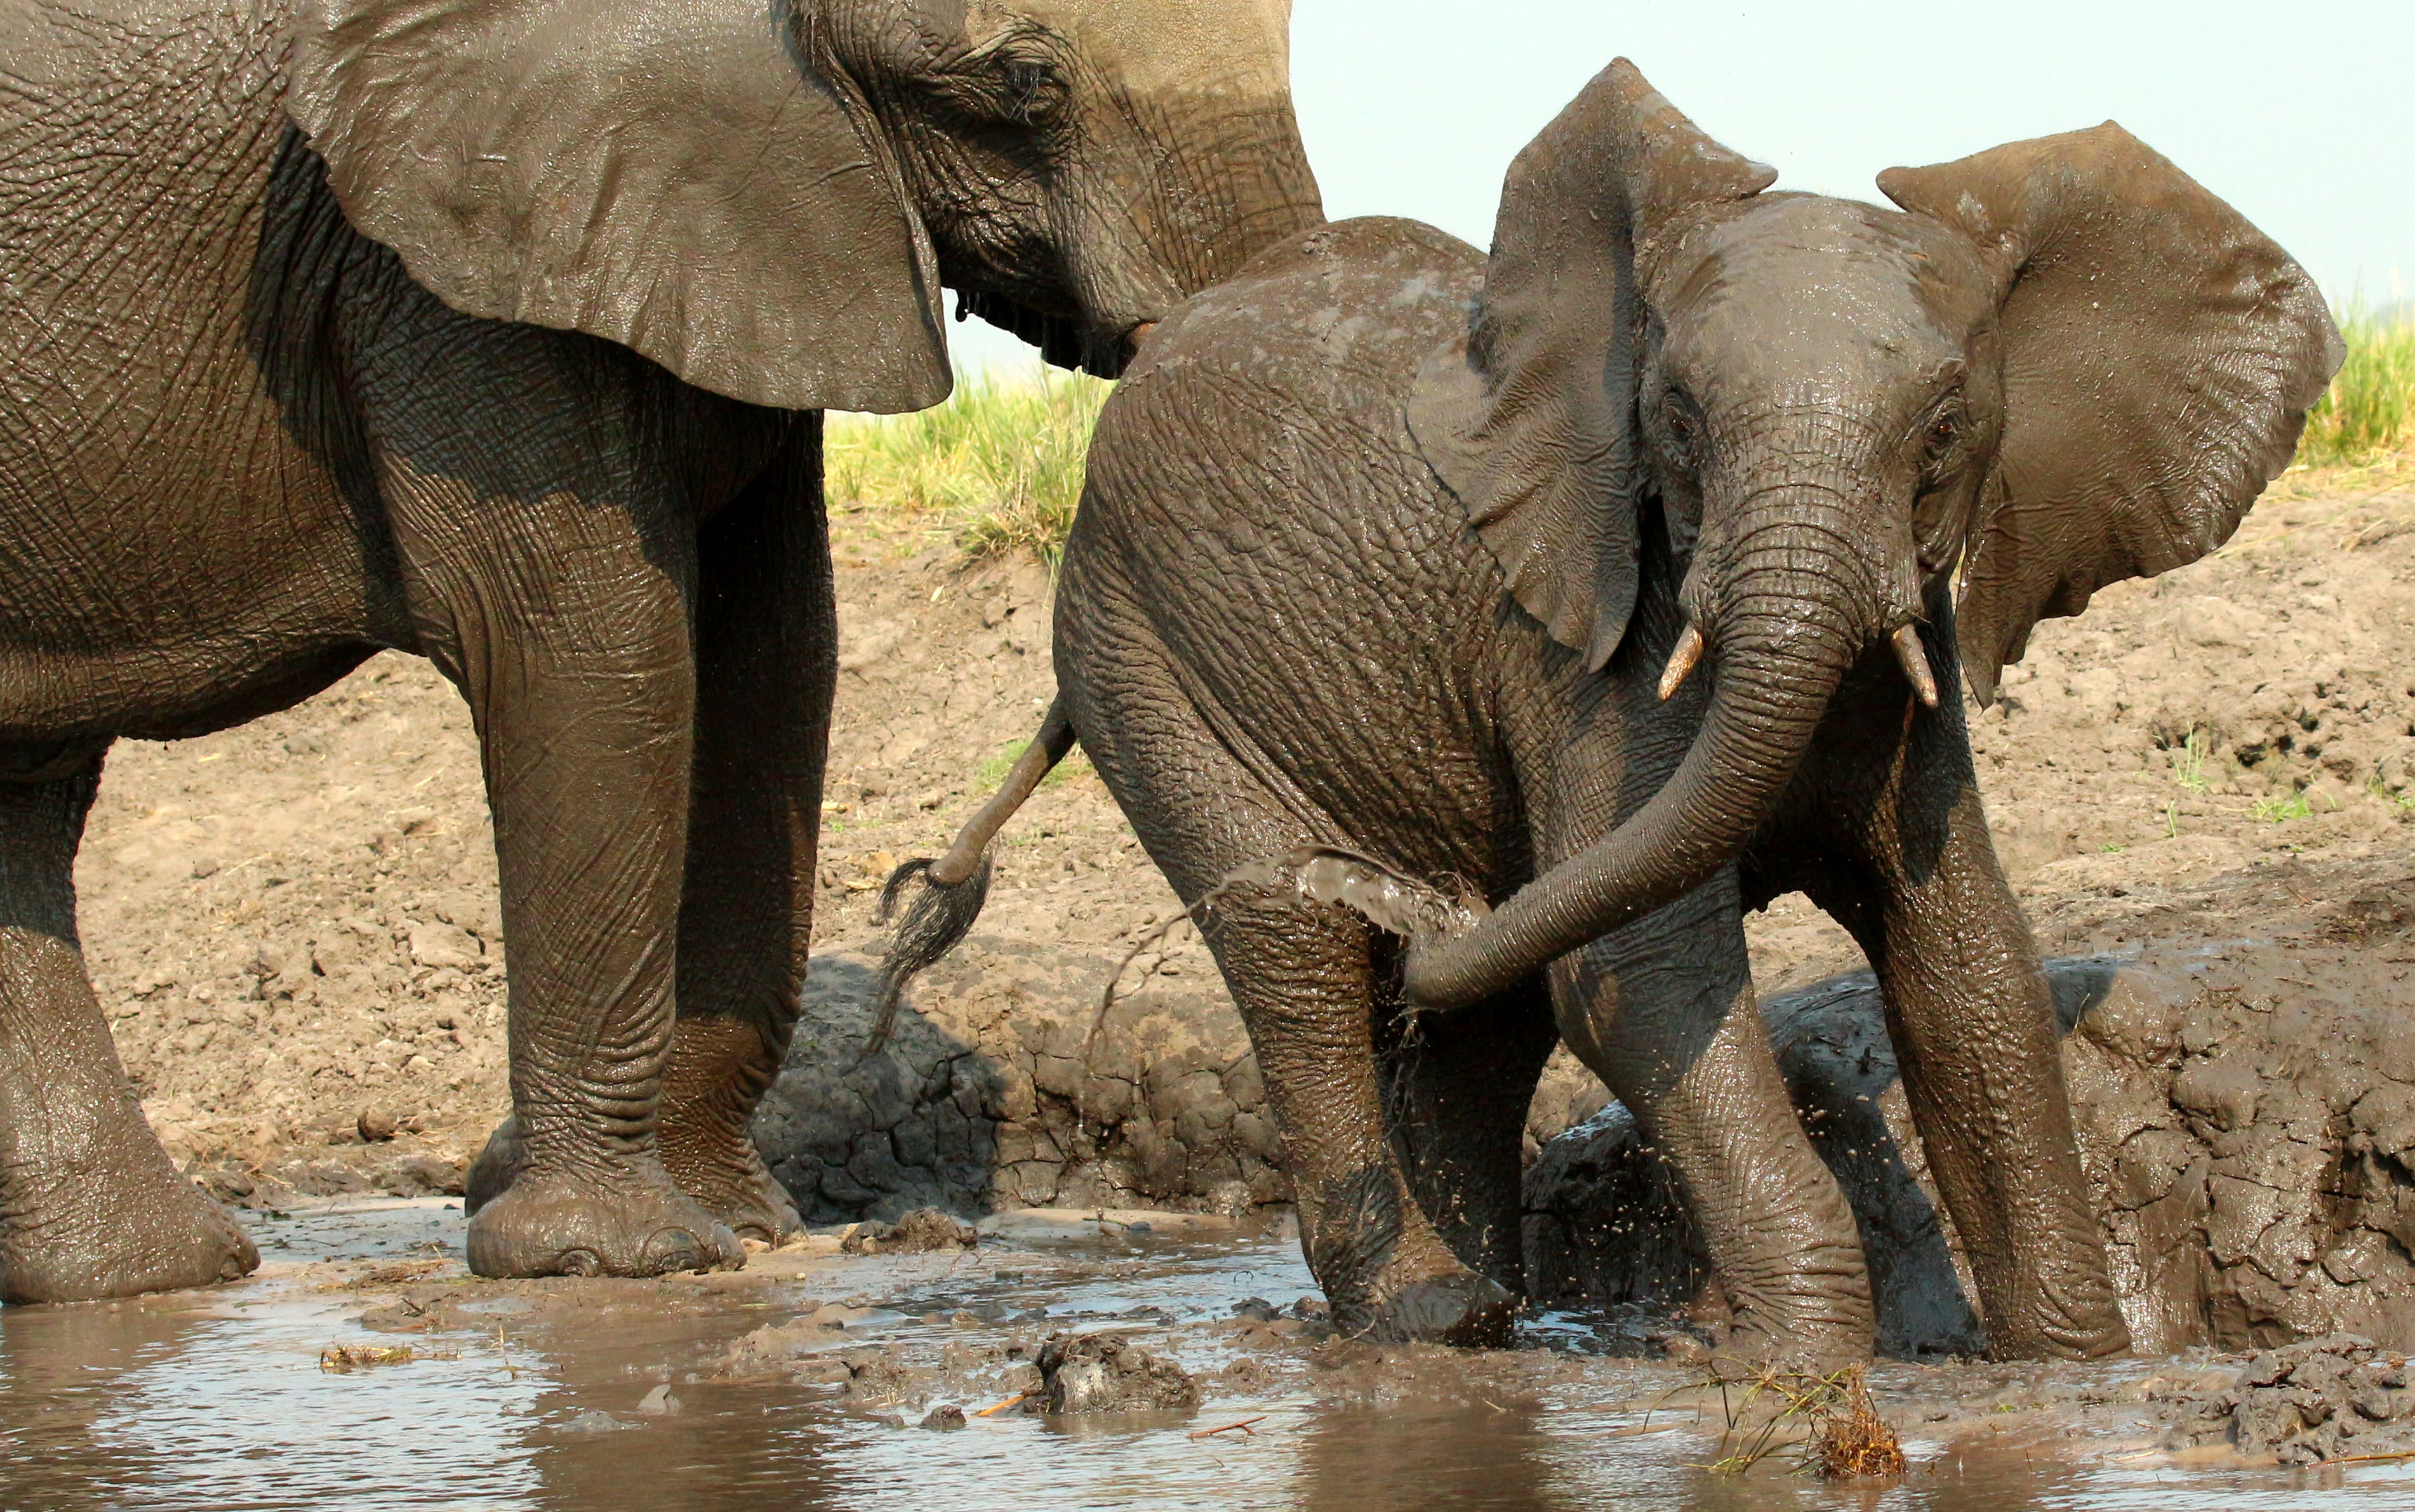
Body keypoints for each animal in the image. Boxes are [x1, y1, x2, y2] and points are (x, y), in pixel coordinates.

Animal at [0, 0, 1320, 1303]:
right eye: (1027, 79)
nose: (930, 889)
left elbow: (773, 665)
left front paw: (744, 1223)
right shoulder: (454, 264)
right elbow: (594, 649)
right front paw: (615, 1259)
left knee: (32, 792)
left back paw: (141, 1272)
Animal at [873, 61, 2339, 1356]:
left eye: (1940, 436)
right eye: (1676, 424)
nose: (1400, 906)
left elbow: (1966, 967)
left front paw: (2078, 1371)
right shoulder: (1581, 662)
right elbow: (1635, 979)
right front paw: (1797, 1369)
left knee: (1482, 1020)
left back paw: (1488, 1294)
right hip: (1132, 643)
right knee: (1293, 955)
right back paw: (1426, 1312)